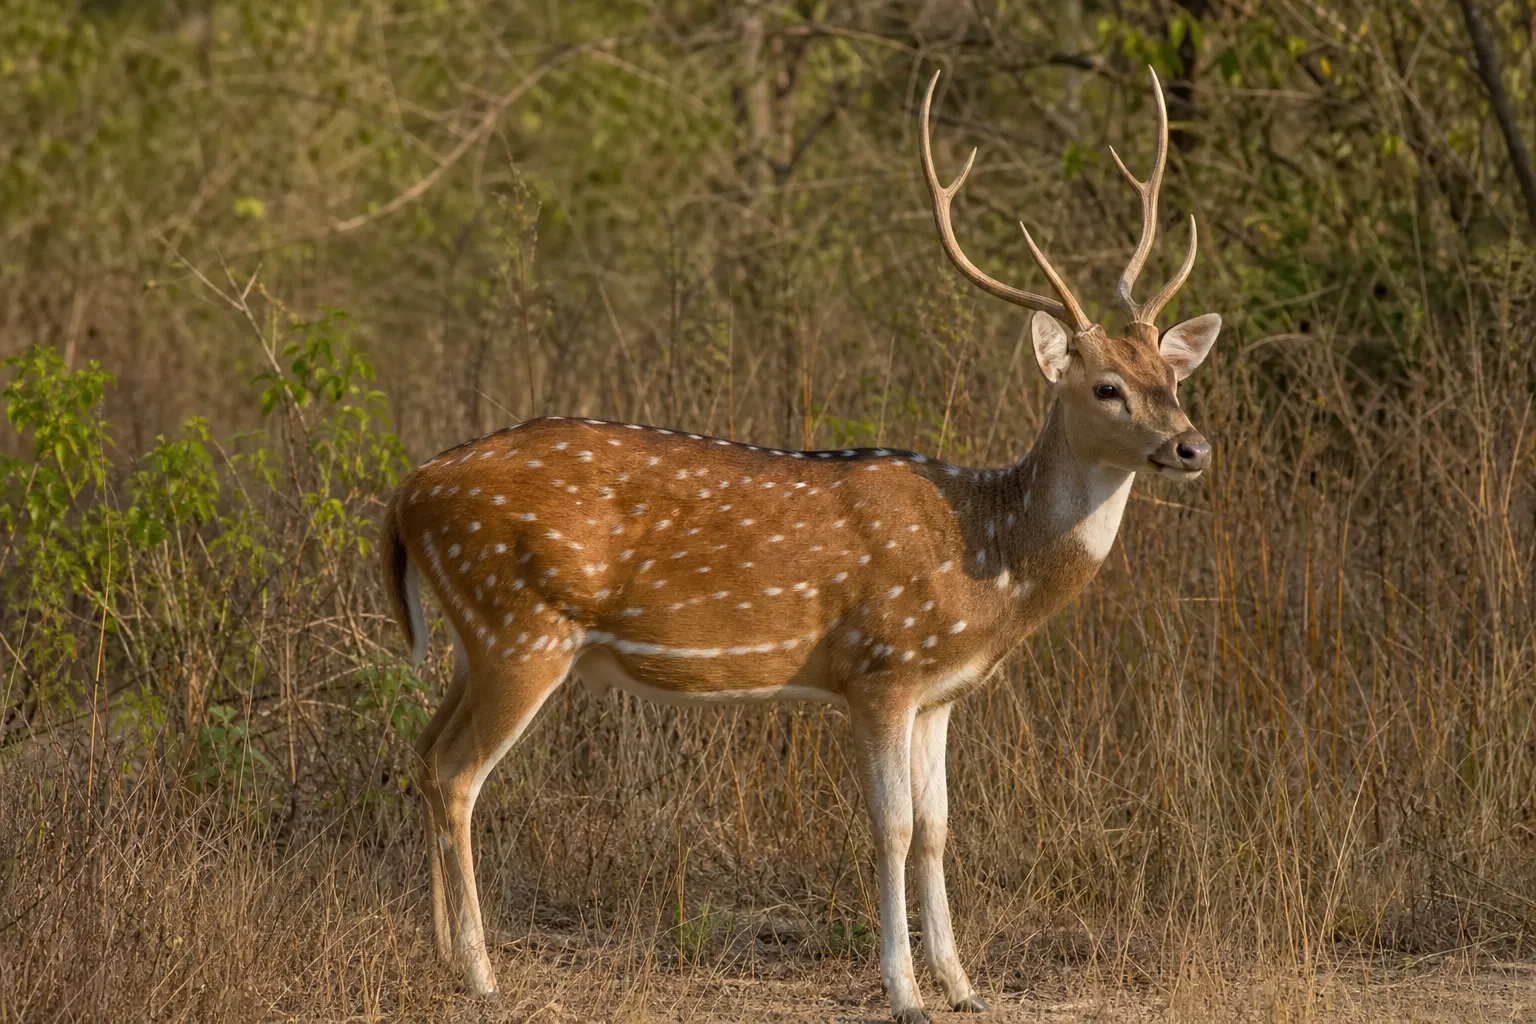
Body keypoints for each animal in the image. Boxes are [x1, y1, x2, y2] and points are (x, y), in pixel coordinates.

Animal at [379, 66, 1220, 1023]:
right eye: (1108, 386)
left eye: (1173, 375)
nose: (1193, 447)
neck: (986, 561)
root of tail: (407, 492)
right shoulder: (880, 668)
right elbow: (892, 828)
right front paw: (904, 990)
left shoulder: (938, 693)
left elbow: (938, 830)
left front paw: (964, 985)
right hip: (521, 626)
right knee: (456, 775)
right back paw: (484, 974)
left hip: (475, 637)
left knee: (421, 756)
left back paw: (444, 956)